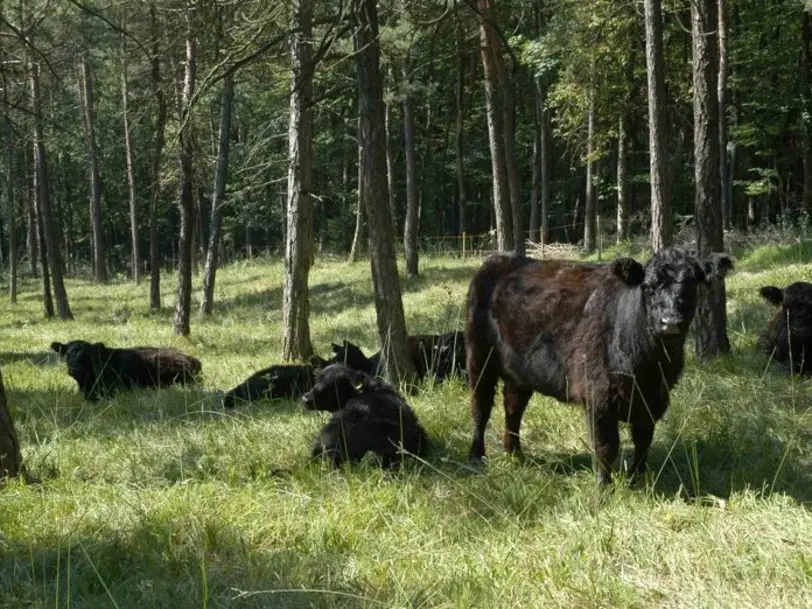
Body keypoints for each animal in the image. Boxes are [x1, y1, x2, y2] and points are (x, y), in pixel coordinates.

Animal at [464, 247, 736, 484]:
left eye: (691, 286)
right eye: (648, 287)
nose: (669, 322)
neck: (648, 368)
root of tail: (501, 259)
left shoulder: (654, 400)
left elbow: (643, 440)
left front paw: (637, 480)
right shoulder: (598, 397)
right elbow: (606, 446)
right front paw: (603, 486)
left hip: (519, 370)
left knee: (513, 406)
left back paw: (514, 453)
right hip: (479, 357)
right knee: (481, 406)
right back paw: (477, 456)